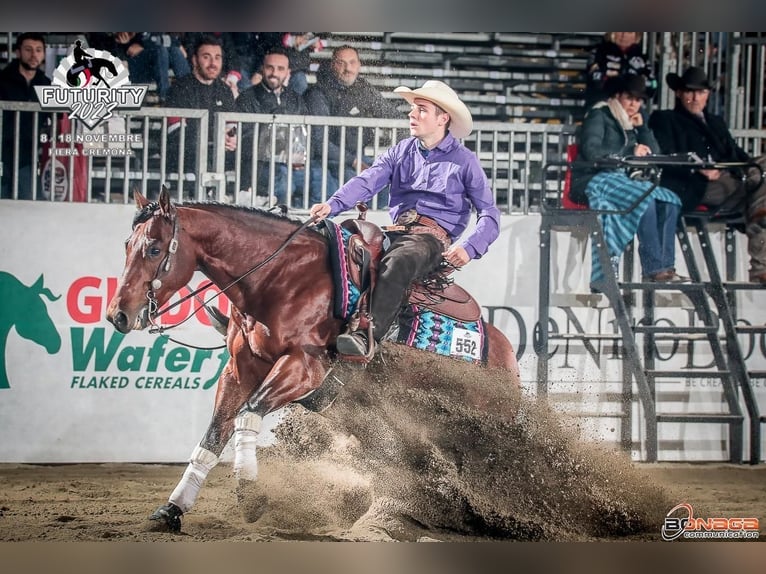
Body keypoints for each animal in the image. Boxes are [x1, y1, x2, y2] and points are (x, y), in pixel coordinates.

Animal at [105, 187, 520, 532]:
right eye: (126, 245)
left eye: (154, 248)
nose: (117, 314)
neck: (280, 278)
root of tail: (504, 352)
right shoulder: (240, 370)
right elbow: (213, 435)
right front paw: (172, 509)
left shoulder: (304, 369)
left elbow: (247, 415)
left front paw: (250, 495)